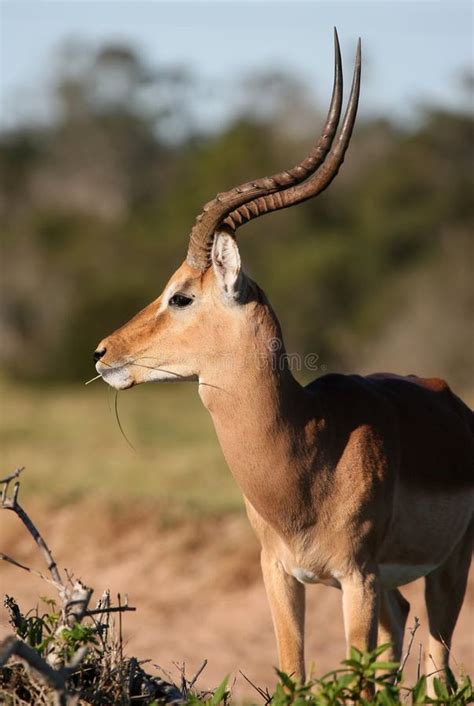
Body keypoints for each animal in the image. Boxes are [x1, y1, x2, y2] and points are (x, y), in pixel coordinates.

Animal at [94, 33, 472, 688]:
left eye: (181, 295)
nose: (103, 352)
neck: (309, 447)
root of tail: (453, 402)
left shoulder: (356, 578)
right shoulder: (280, 574)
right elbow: (293, 673)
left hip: (449, 570)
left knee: (437, 670)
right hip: (396, 587)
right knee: (405, 646)